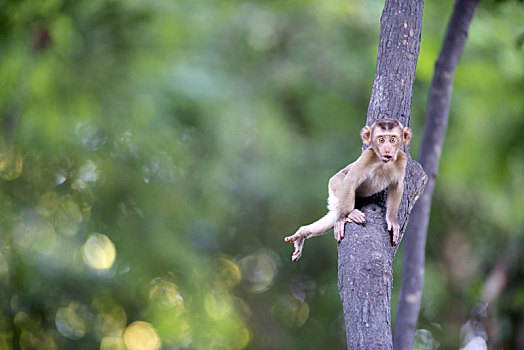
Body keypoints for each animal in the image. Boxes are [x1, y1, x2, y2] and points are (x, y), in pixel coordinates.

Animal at [284, 119, 412, 262]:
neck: (384, 163)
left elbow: (397, 186)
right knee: (342, 186)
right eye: (381, 140)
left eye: (392, 139)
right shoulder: (368, 156)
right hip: (335, 188)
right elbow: (350, 180)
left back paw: (302, 233)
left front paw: (392, 220)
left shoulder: (401, 160)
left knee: (331, 218)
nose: (387, 149)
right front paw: (343, 218)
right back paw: (349, 214)